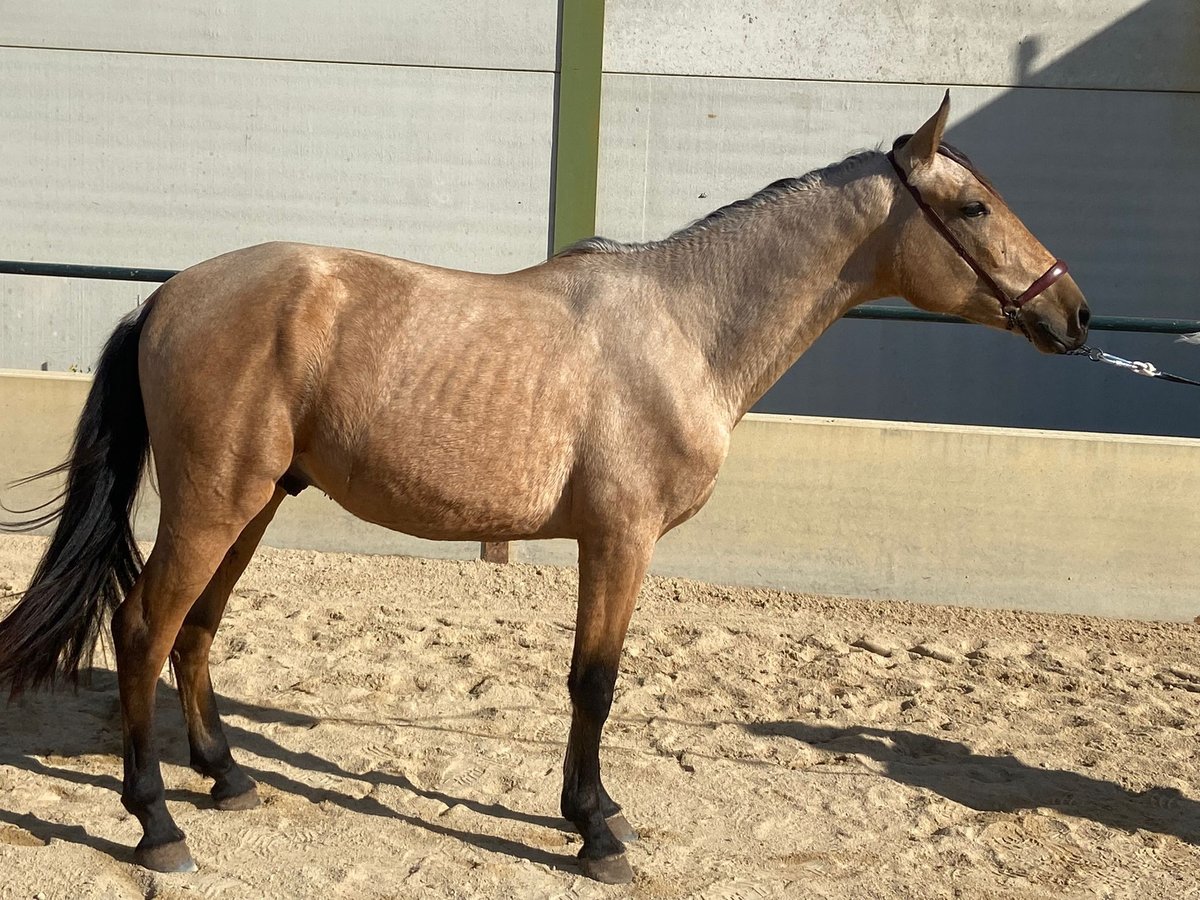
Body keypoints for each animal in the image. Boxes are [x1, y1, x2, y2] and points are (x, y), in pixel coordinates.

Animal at [0, 95, 1089, 883]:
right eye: (975, 207)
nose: (1074, 314)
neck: (683, 326)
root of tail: (169, 296)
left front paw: (595, 813)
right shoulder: (620, 539)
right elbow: (593, 682)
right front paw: (595, 830)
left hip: (255, 505)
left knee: (196, 629)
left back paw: (226, 777)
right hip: (215, 503)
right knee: (145, 628)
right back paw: (155, 823)